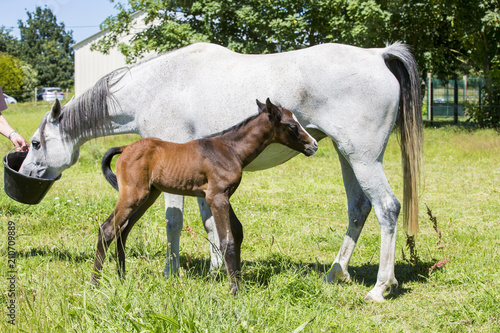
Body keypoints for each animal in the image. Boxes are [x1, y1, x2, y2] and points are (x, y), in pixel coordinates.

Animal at [92, 97, 318, 292]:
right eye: (292, 125)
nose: (313, 145)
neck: (230, 150)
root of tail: (125, 148)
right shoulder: (216, 197)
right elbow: (227, 240)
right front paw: (235, 290)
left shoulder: (224, 196)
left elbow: (237, 232)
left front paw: (239, 282)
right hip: (133, 195)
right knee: (107, 229)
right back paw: (95, 282)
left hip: (148, 196)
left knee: (123, 230)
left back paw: (122, 278)